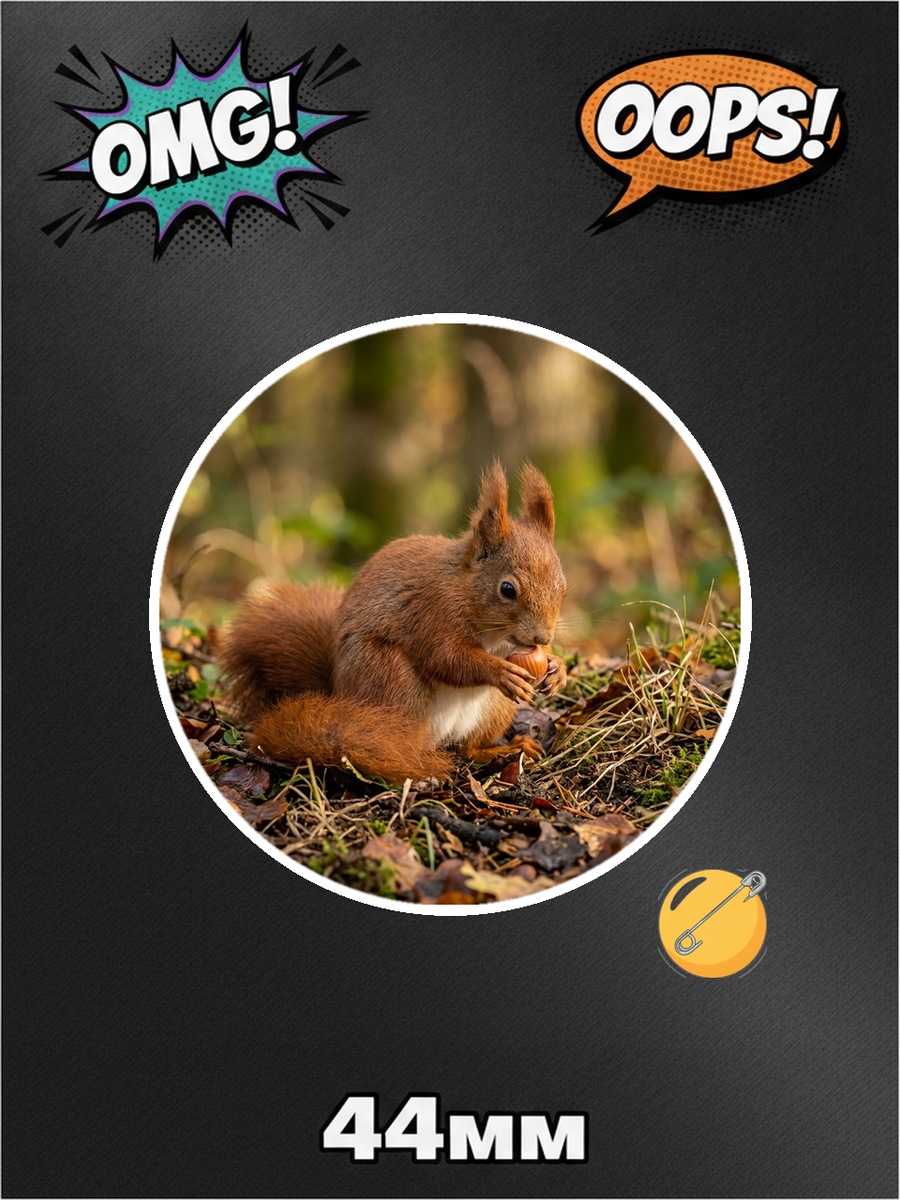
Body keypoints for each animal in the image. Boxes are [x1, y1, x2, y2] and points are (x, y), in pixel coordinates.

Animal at [217, 461, 568, 784]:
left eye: (563, 587)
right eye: (507, 590)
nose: (542, 637)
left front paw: (557, 668)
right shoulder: (433, 612)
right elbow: (446, 658)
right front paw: (500, 671)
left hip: (493, 709)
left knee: (468, 749)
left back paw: (507, 748)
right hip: (391, 680)